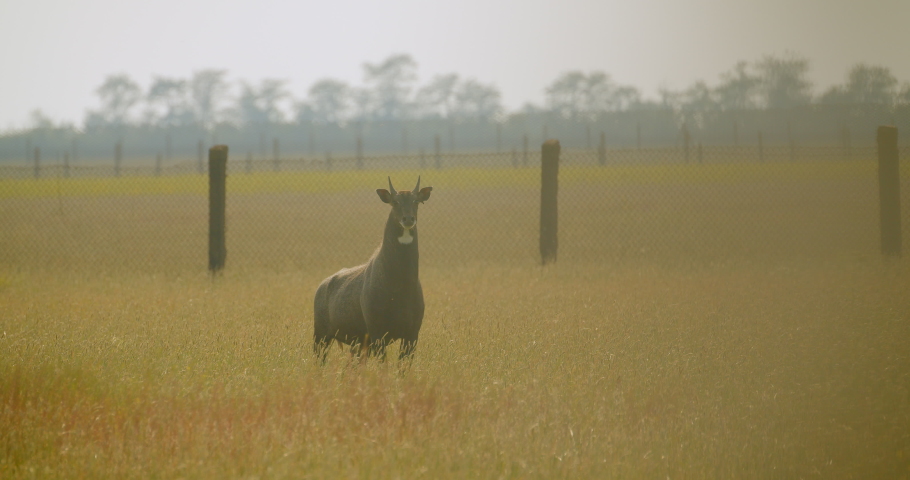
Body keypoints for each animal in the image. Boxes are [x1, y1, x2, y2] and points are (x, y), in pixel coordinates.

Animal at [313, 176, 432, 361]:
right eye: (395, 202)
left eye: (416, 201)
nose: (408, 219)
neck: (400, 286)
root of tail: (322, 286)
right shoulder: (377, 334)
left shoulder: (411, 335)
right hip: (321, 337)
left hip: (357, 344)